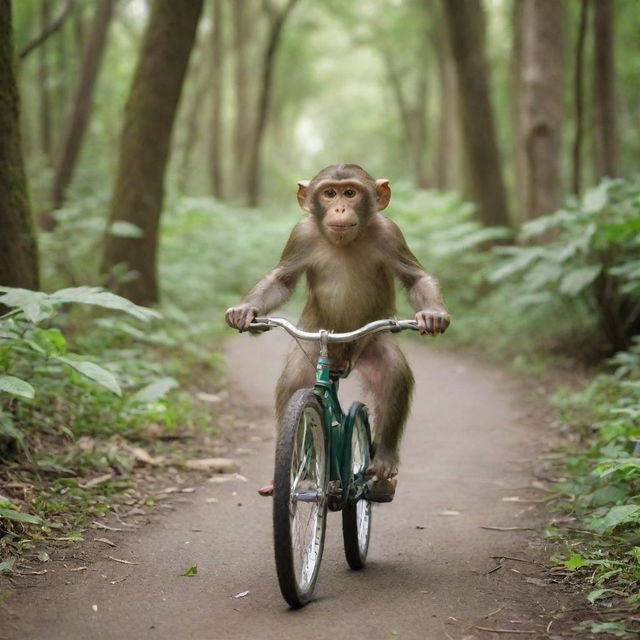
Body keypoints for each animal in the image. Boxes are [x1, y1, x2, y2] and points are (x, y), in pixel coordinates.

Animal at [225, 164, 450, 500]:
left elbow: (415, 278)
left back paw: (384, 465)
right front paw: (245, 311)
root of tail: (341, 356)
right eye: (330, 193)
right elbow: (281, 281)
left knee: (392, 375)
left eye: (350, 192)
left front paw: (433, 315)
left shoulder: (391, 233)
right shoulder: (301, 235)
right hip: (312, 341)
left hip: (371, 343)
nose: (340, 207)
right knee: (295, 381)